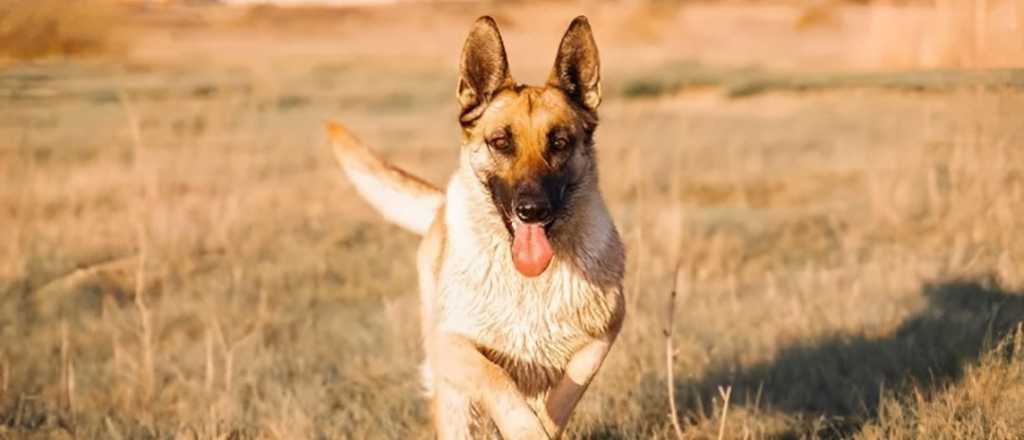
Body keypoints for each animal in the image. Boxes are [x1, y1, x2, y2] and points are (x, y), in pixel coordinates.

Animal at [327, 15, 622, 437]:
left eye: (560, 142)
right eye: (500, 142)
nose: (532, 210)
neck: (529, 282)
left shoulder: (605, 333)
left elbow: (569, 389)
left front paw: (546, 424)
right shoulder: (451, 343)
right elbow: (496, 379)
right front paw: (526, 428)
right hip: (451, 396)